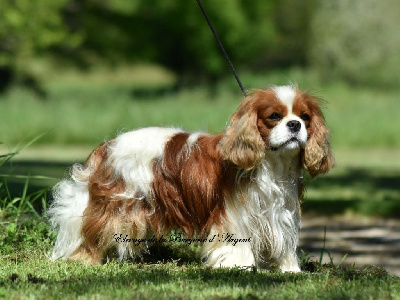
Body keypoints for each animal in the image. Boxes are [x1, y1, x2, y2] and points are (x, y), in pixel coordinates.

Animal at [47, 84, 334, 272]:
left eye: (305, 117)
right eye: (274, 117)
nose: (295, 125)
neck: (272, 163)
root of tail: (108, 146)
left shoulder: (279, 210)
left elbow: (284, 241)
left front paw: (290, 269)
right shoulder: (235, 214)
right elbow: (236, 242)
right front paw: (239, 266)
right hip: (115, 203)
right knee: (92, 230)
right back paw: (84, 258)